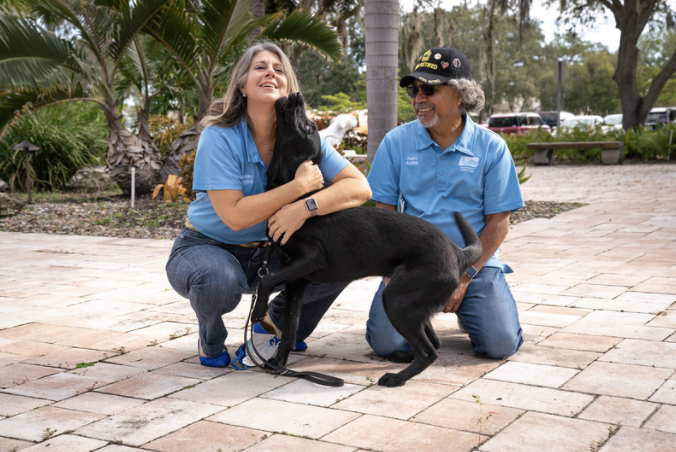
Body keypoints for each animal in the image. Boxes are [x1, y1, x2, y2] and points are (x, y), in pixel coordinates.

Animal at [251, 92, 484, 388]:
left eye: (307, 126)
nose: (296, 95)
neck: (295, 194)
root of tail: (456, 251)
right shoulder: (296, 281)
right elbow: (289, 330)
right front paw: (278, 364)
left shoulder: (310, 259)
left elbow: (266, 279)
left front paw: (258, 312)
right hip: (413, 304)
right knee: (434, 343)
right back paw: (400, 359)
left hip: (396, 299)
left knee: (429, 351)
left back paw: (395, 378)